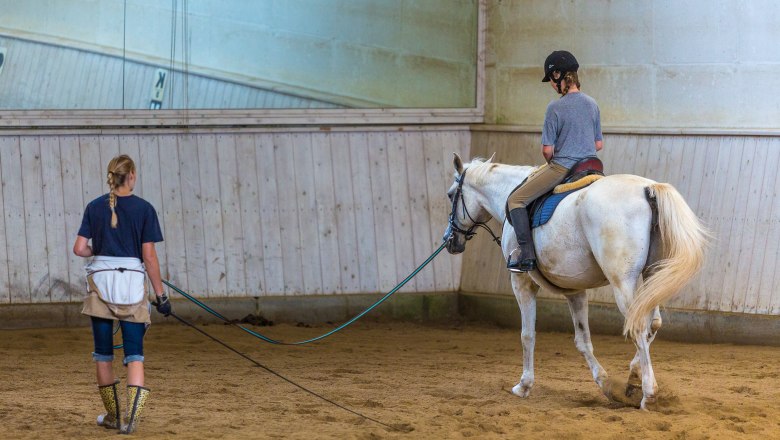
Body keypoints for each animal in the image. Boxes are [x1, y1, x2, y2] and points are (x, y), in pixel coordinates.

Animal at [442, 153, 709, 409]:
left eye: (451, 194)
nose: (449, 240)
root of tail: (648, 188)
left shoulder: (521, 282)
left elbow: (527, 335)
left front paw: (524, 385)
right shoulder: (574, 290)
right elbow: (583, 341)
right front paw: (606, 383)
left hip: (623, 282)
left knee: (639, 327)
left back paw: (649, 394)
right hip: (652, 276)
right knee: (653, 323)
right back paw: (634, 376)